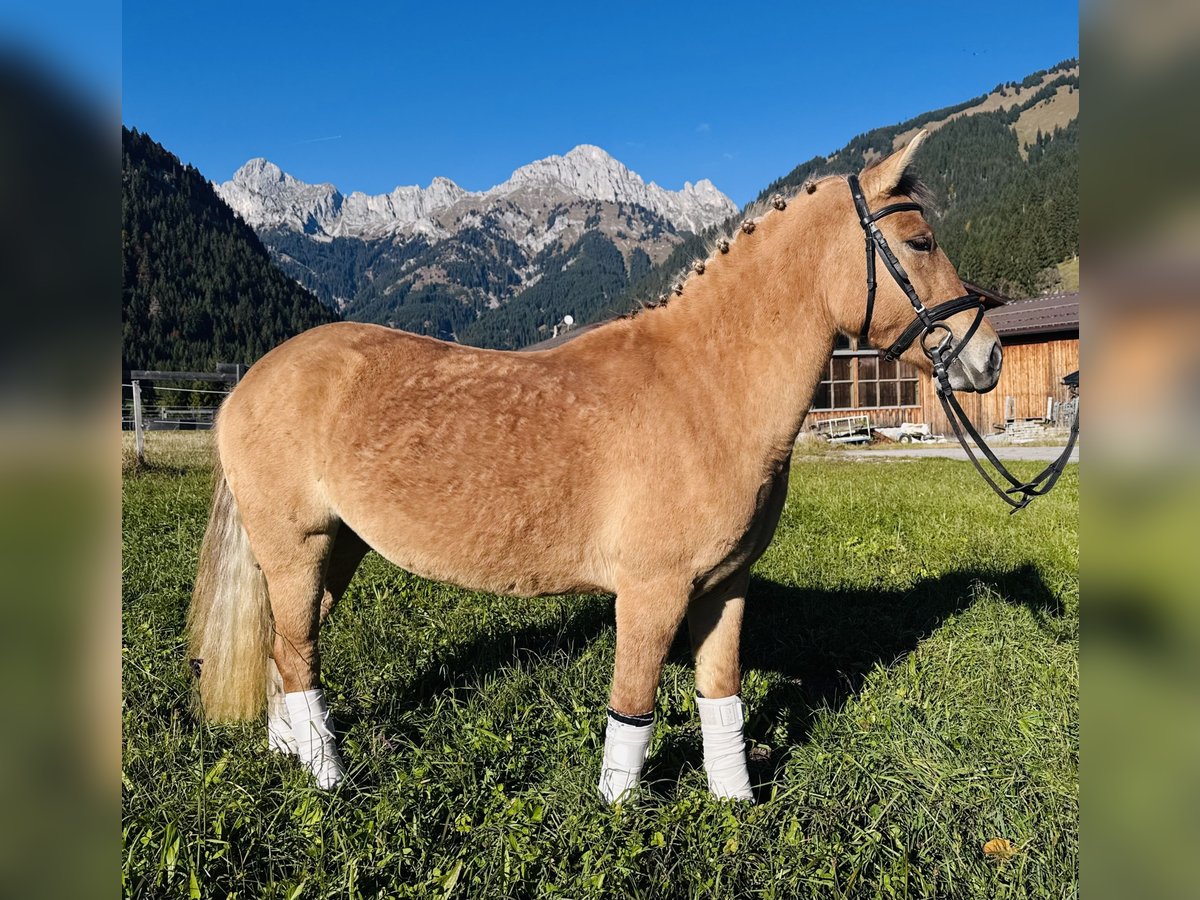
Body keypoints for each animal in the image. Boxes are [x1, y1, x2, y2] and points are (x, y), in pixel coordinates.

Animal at [187, 131, 1003, 800]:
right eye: (920, 241)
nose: (988, 356)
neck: (705, 389)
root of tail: (249, 382)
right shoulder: (650, 593)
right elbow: (633, 714)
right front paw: (620, 817)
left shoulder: (724, 587)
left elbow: (721, 699)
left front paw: (735, 807)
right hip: (295, 549)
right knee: (297, 659)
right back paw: (330, 781)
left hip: (335, 550)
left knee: (283, 650)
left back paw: (289, 758)